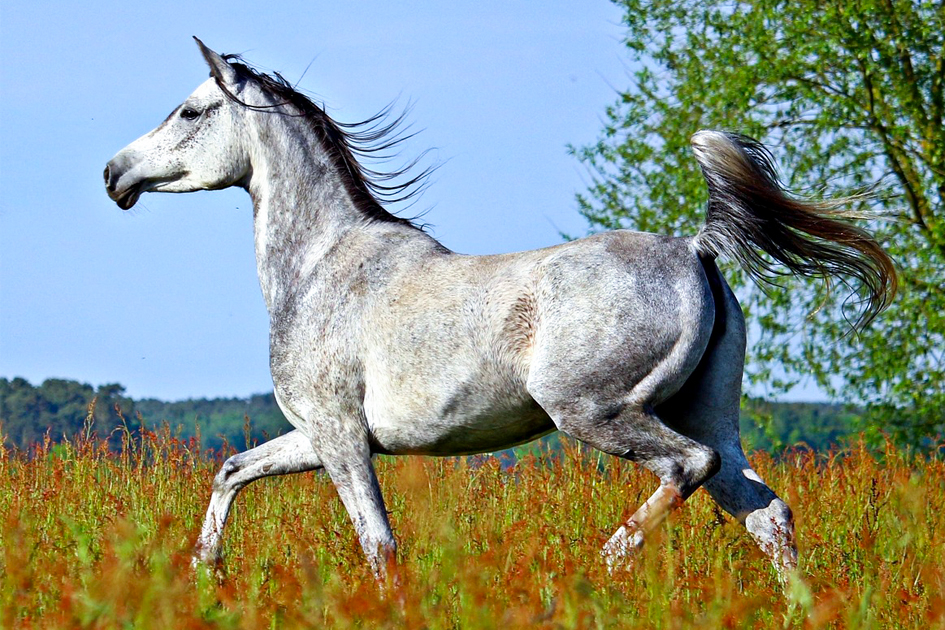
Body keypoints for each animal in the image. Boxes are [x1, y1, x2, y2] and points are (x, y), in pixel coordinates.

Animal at [104, 38, 896, 580]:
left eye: (191, 110)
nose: (115, 173)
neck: (322, 264)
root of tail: (695, 250)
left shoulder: (339, 437)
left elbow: (378, 544)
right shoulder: (316, 436)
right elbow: (231, 471)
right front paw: (205, 573)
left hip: (597, 412)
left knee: (687, 469)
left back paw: (605, 562)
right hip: (708, 414)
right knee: (767, 514)